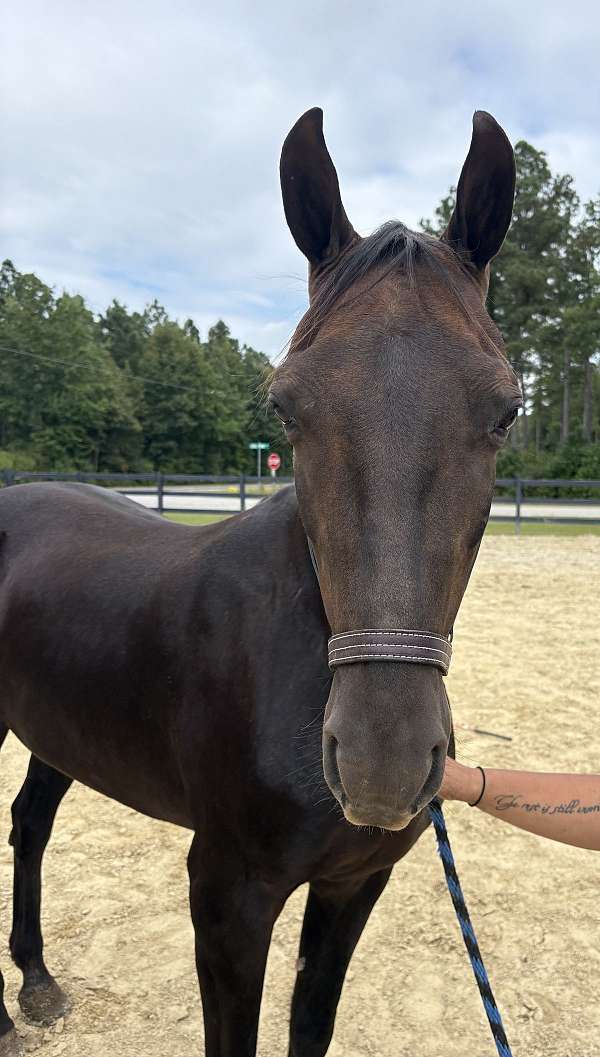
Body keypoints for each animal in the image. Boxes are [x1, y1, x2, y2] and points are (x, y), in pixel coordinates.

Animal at [0, 107, 520, 1056]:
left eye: (506, 409)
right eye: (286, 406)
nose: (382, 762)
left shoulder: (353, 885)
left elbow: (310, 1022)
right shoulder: (227, 896)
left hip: (57, 726)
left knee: (30, 822)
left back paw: (39, 982)